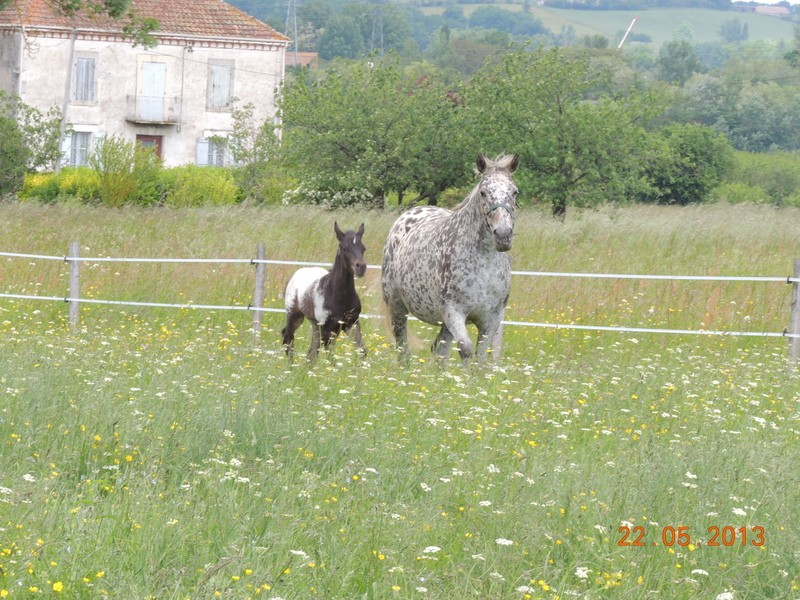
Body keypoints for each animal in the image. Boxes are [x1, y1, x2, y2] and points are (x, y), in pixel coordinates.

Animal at [282, 221, 368, 358]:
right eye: (345, 248)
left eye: (363, 248)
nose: (361, 267)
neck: (338, 295)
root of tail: (293, 277)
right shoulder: (328, 329)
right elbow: (330, 357)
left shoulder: (352, 323)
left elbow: (362, 351)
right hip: (294, 316)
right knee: (288, 337)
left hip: (315, 324)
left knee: (311, 352)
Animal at [380, 152, 520, 364]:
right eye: (483, 193)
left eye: (514, 192)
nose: (503, 235)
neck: (484, 263)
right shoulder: (454, 312)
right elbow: (466, 350)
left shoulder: (491, 319)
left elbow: (480, 358)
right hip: (397, 307)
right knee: (403, 348)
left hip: (444, 322)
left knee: (440, 350)